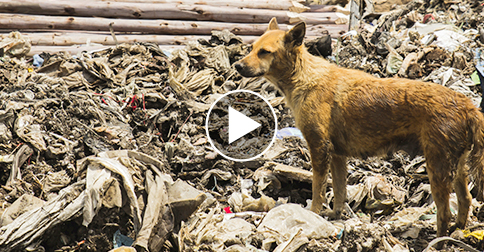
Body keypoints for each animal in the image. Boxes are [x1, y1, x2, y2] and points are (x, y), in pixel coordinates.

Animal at [234, 17, 484, 236]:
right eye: (251, 48)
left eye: (264, 52)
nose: (237, 65)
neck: (303, 76)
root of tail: (468, 105)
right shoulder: (337, 155)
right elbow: (339, 190)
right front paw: (335, 216)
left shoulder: (319, 148)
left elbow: (318, 190)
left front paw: (313, 214)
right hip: (457, 166)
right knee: (465, 200)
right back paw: (458, 230)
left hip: (438, 166)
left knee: (444, 212)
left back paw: (437, 240)